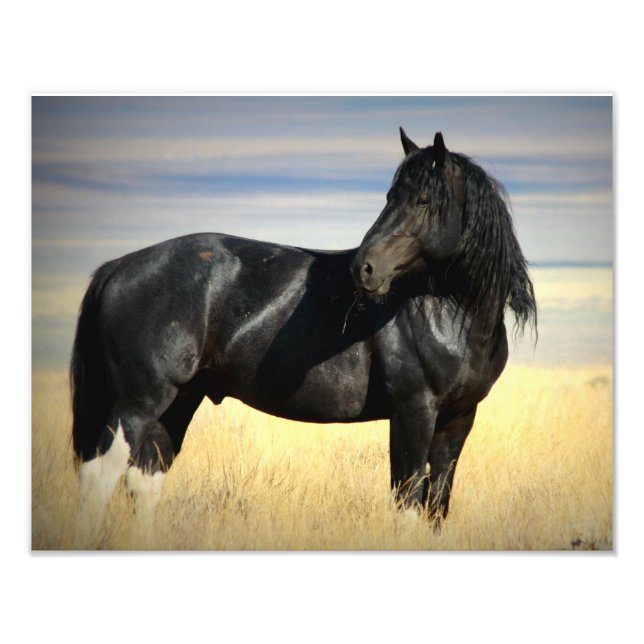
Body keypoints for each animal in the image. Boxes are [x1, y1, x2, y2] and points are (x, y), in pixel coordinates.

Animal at [71, 129, 536, 530]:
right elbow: (406, 504)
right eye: (391, 196)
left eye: (423, 200)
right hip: (138, 404)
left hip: (179, 402)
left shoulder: (458, 418)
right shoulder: (413, 412)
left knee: (145, 480)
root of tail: (120, 267)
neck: (446, 314)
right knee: (100, 476)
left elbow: (436, 505)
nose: (364, 269)